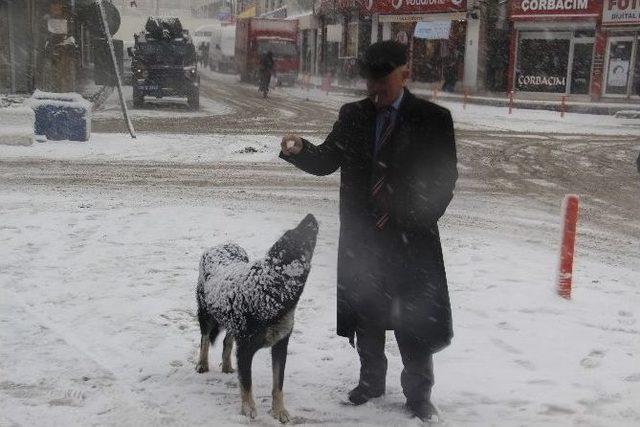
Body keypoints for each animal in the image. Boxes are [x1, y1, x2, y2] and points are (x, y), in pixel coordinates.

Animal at [192, 216, 318, 422]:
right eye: (296, 233)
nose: (310, 216)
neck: (267, 290)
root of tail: (221, 245)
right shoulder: (245, 349)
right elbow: (247, 383)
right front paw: (248, 409)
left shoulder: (280, 345)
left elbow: (278, 384)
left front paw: (279, 410)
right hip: (206, 314)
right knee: (204, 339)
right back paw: (202, 364)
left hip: (231, 321)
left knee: (227, 341)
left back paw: (227, 366)